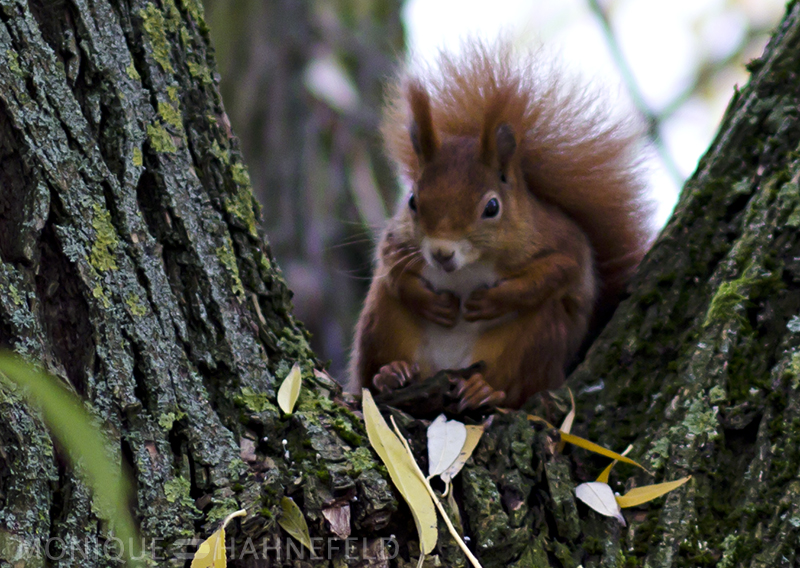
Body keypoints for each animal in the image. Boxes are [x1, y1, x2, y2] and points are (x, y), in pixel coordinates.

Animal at [348, 42, 648, 410]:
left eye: (492, 207)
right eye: (413, 201)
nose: (441, 253)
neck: (468, 267)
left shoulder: (558, 239)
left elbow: (560, 269)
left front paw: (492, 301)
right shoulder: (399, 239)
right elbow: (391, 266)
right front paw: (432, 303)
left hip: (536, 340)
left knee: (516, 385)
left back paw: (484, 391)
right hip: (382, 319)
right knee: (375, 361)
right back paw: (391, 375)